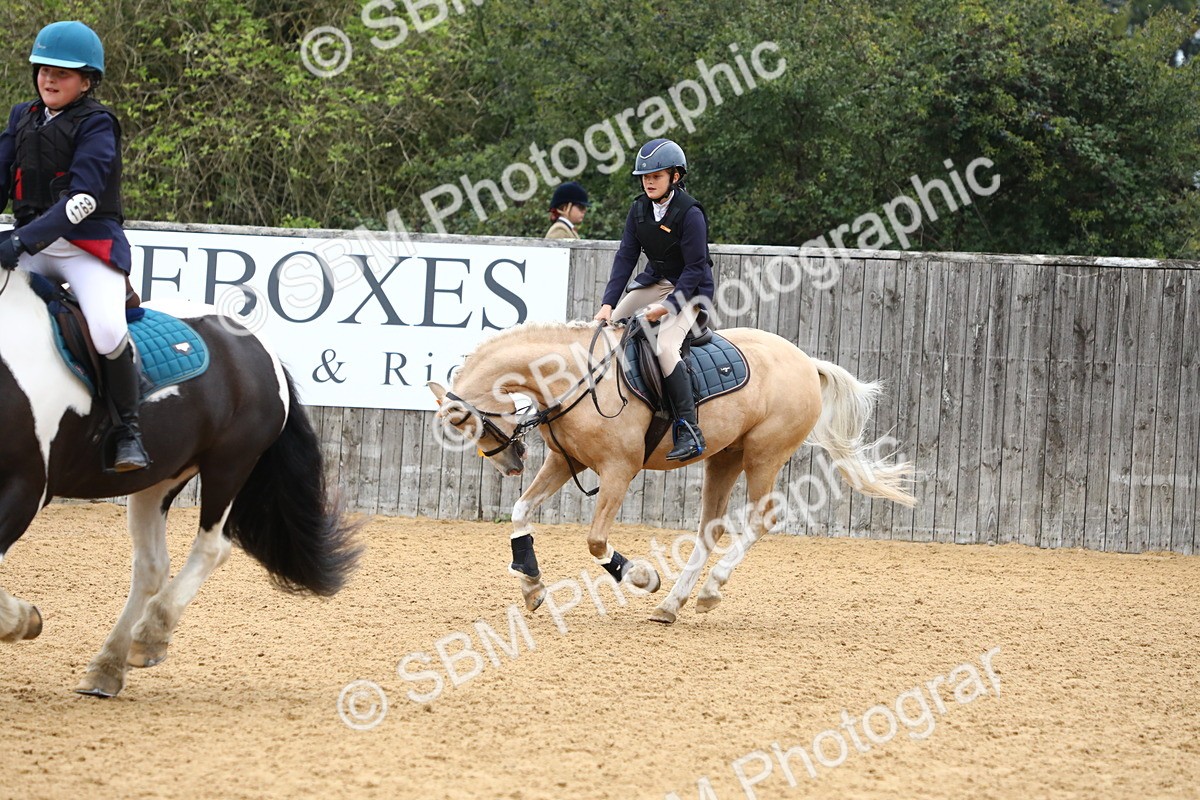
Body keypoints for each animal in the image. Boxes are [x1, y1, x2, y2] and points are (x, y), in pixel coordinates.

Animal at [0, 268, 360, 697]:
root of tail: (258, 346)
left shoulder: (25, 489)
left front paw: (26, 619)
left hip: (229, 464)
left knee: (211, 548)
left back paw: (148, 638)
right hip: (157, 480)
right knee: (153, 566)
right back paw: (107, 668)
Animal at [428, 320, 915, 624]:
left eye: (463, 422)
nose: (511, 465)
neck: (574, 377)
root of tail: (806, 361)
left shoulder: (618, 470)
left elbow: (596, 541)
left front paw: (642, 578)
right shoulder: (566, 462)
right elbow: (521, 512)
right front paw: (530, 584)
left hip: (764, 454)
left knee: (762, 518)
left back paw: (709, 591)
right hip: (726, 456)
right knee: (710, 529)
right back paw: (672, 605)